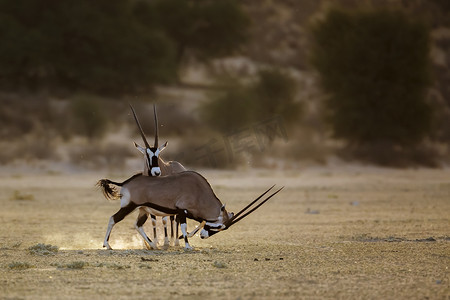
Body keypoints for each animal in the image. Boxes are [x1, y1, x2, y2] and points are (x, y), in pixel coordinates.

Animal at [98, 171, 284, 251]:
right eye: (219, 227)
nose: (204, 237)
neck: (199, 191)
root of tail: (125, 182)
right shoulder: (182, 211)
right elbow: (184, 227)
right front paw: (187, 245)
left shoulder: (190, 213)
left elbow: (198, 223)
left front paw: (185, 240)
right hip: (129, 206)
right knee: (113, 219)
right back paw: (107, 245)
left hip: (142, 210)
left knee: (138, 225)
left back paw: (152, 245)